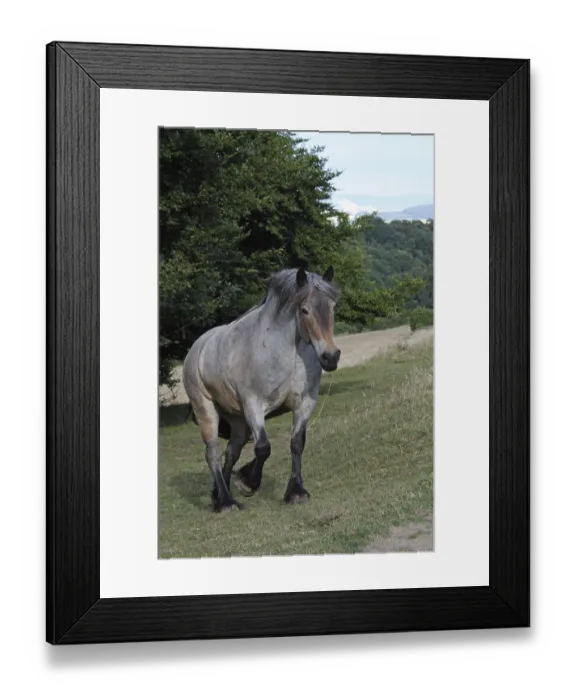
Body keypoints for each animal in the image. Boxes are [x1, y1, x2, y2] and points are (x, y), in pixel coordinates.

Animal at [182, 266, 342, 513]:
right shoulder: (254, 406)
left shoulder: (305, 403)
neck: (286, 352)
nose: (331, 357)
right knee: (213, 453)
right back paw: (226, 502)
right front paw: (248, 482)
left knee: (231, 452)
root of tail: (197, 348)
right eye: (304, 310)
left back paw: (218, 494)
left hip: (237, 421)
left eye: (333, 307)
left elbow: (297, 443)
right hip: (206, 410)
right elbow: (263, 448)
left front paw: (296, 492)